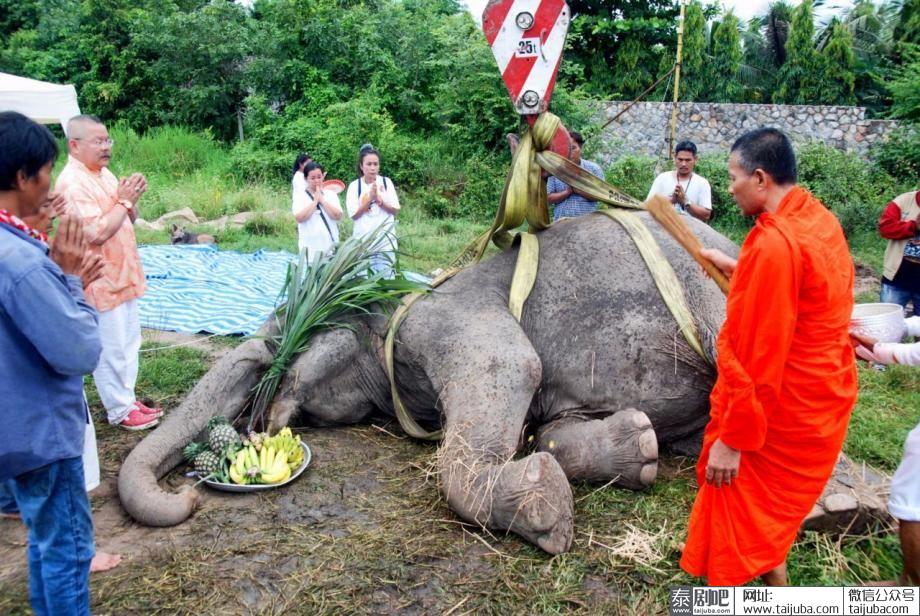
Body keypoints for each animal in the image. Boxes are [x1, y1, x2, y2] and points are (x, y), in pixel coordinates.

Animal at [118, 213, 736, 552]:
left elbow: (513, 365)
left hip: (711, 290)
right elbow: (551, 425)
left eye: (283, 339)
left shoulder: (439, 320)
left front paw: (547, 511)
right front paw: (639, 449)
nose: (188, 498)